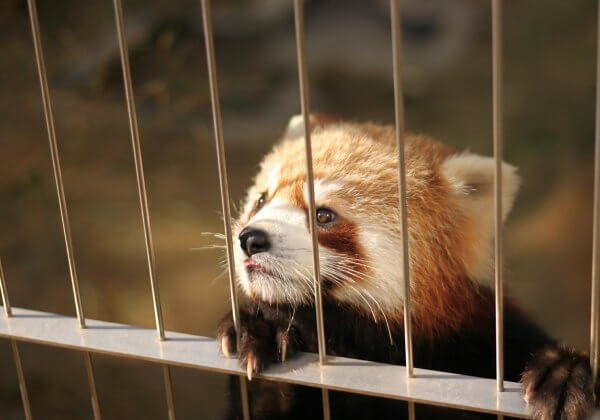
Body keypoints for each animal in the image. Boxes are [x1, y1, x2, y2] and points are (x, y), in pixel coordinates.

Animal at [216, 115, 596, 420]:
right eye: (261, 200)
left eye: (324, 215)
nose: (250, 239)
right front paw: (262, 327)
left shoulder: (483, 340)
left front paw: (564, 373)